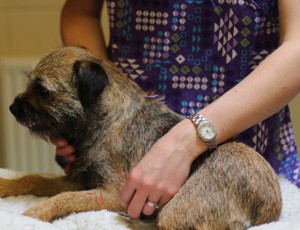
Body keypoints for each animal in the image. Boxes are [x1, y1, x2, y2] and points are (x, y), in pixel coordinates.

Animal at [4, 45, 282, 229]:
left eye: (42, 90)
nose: (12, 108)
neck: (107, 121)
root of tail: (270, 208)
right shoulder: (81, 180)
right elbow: (35, 179)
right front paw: (6, 185)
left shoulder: (113, 193)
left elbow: (64, 198)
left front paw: (37, 212)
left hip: (176, 210)